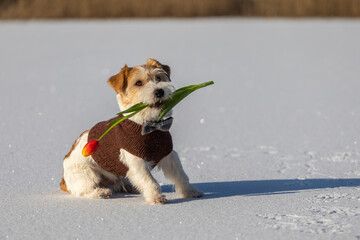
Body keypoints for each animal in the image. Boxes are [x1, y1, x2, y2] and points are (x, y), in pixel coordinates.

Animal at [60, 59, 204, 203]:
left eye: (158, 77)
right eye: (138, 83)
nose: (159, 91)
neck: (149, 126)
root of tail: (63, 181)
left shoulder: (169, 155)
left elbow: (181, 176)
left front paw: (190, 192)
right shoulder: (137, 162)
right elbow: (149, 181)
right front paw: (156, 197)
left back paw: (131, 187)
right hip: (87, 173)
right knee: (83, 191)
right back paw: (101, 192)